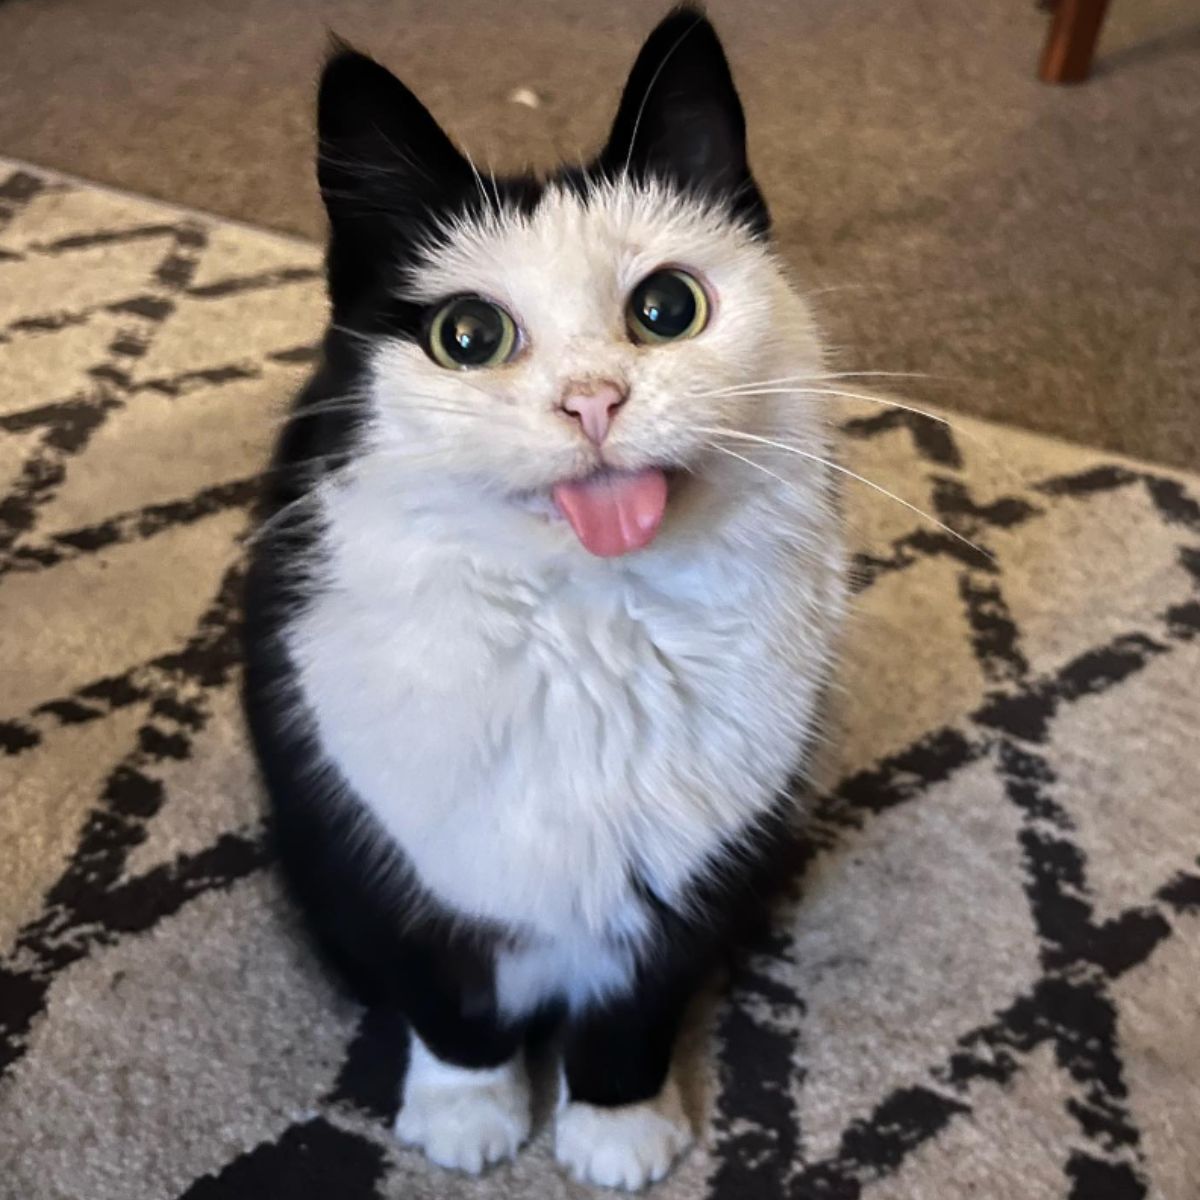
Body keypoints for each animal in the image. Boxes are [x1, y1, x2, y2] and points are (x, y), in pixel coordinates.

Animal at [243, 7, 844, 1190]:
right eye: (468, 336)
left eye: (667, 307)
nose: (593, 400)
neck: (588, 637)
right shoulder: (385, 851)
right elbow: (445, 996)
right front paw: (469, 1115)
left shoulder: (690, 875)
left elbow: (637, 1004)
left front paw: (617, 1126)